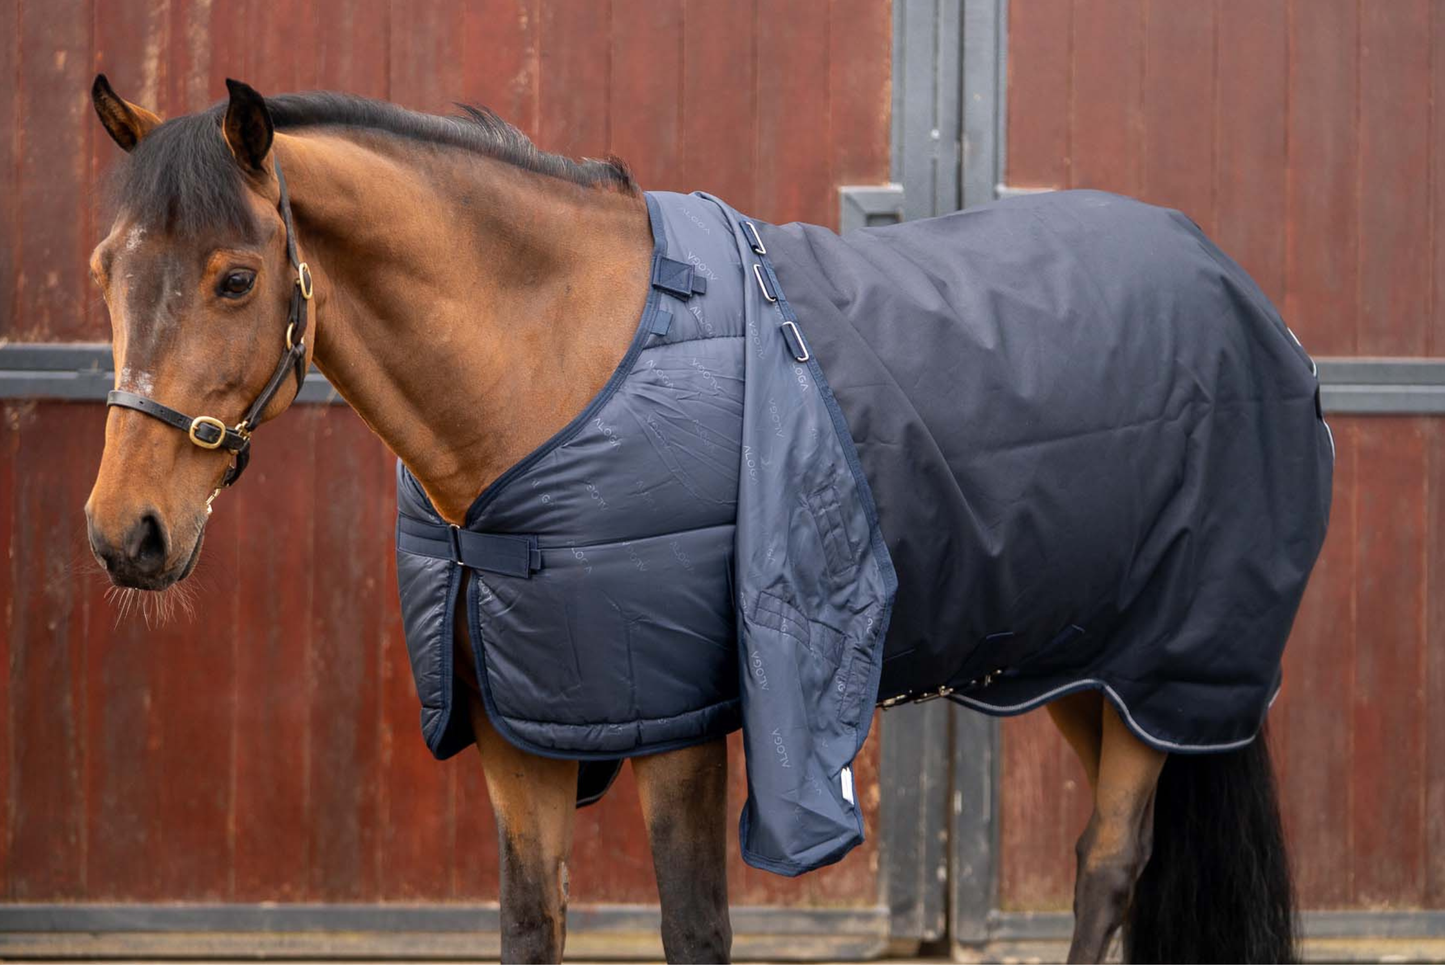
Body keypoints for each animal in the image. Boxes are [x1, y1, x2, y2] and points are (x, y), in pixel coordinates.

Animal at [82, 75, 1322, 964]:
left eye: (236, 278)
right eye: (105, 268)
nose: (123, 533)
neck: (559, 365)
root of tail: (1226, 282)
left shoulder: (674, 723)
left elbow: (693, 928)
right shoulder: (518, 727)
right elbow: (530, 924)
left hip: (1170, 663)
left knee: (1111, 860)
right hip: (1086, 665)